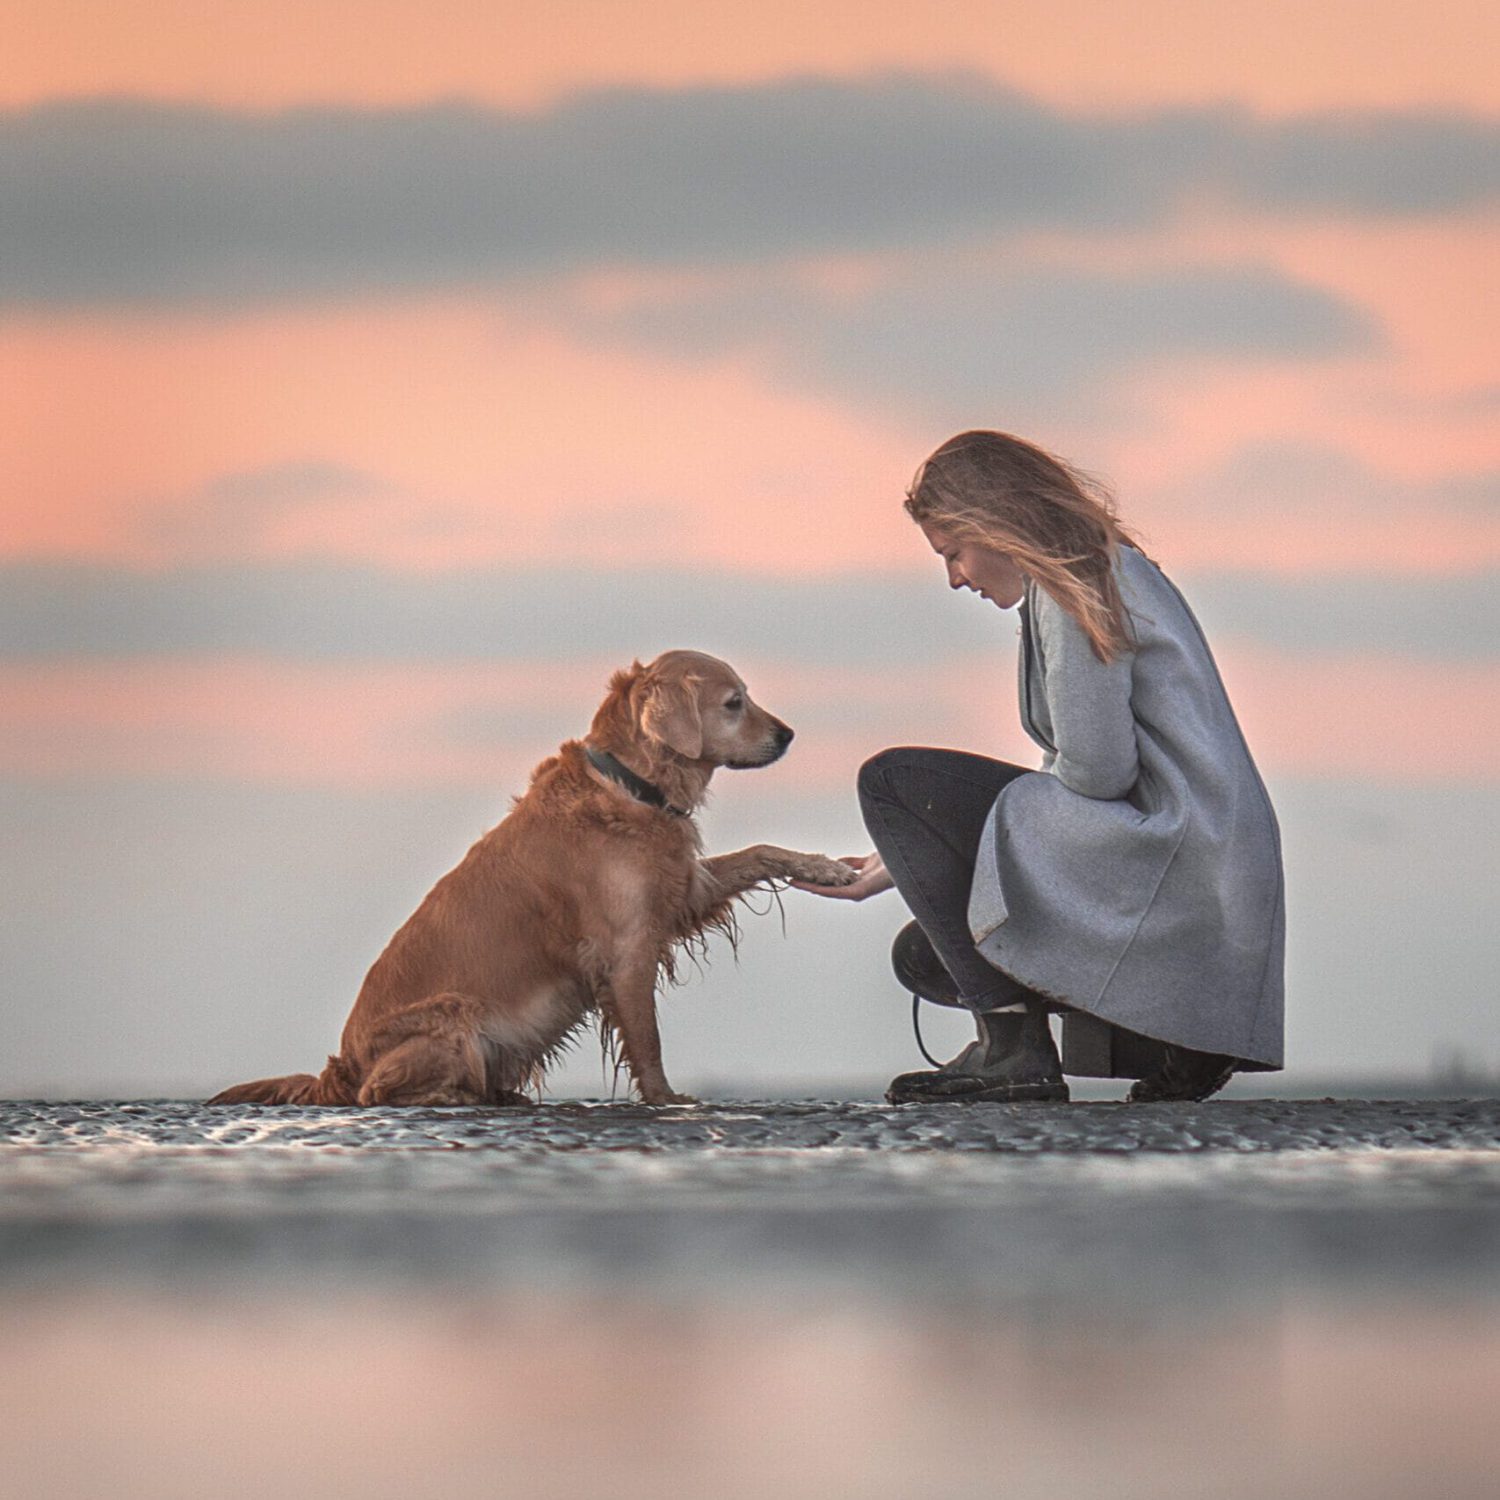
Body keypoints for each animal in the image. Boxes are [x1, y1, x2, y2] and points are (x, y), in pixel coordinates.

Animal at [208, 651, 858, 1110]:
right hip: (455, 1014)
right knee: (379, 1092)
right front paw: (667, 1100)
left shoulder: (681, 892)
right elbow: (647, 1040)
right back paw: (458, 1095)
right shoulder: (626, 949)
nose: (788, 735)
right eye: (734, 702)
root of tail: (338, 1067)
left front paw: (825, 866)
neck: (631, 786)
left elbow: (763, 851)